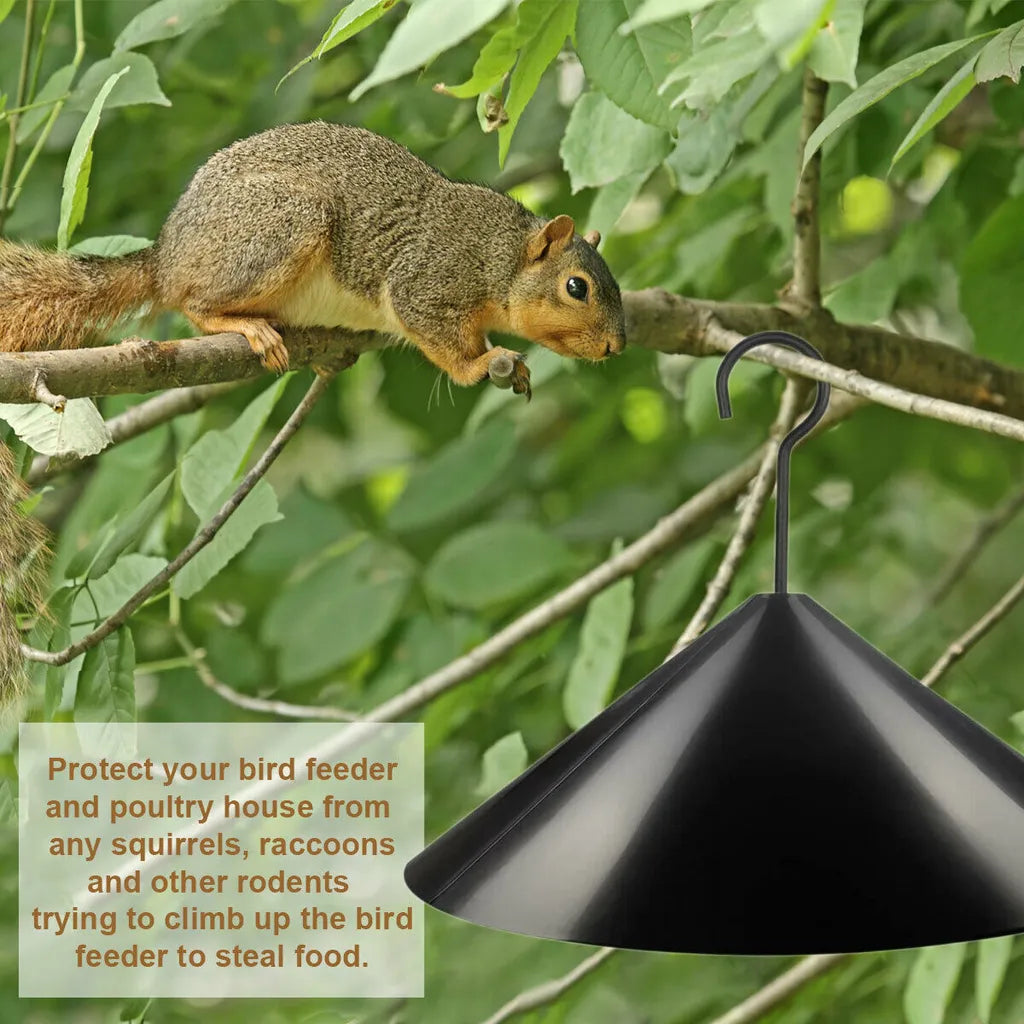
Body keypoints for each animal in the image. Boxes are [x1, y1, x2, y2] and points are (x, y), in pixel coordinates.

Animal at [0, 121, 627, 698]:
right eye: (577, 287)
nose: (618, 346)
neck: (497, 255)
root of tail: (167, 254)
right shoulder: (424, 282)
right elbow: (439, 339)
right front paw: (482, 364)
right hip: (281, 227)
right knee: (191, 300)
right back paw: (244, 325)